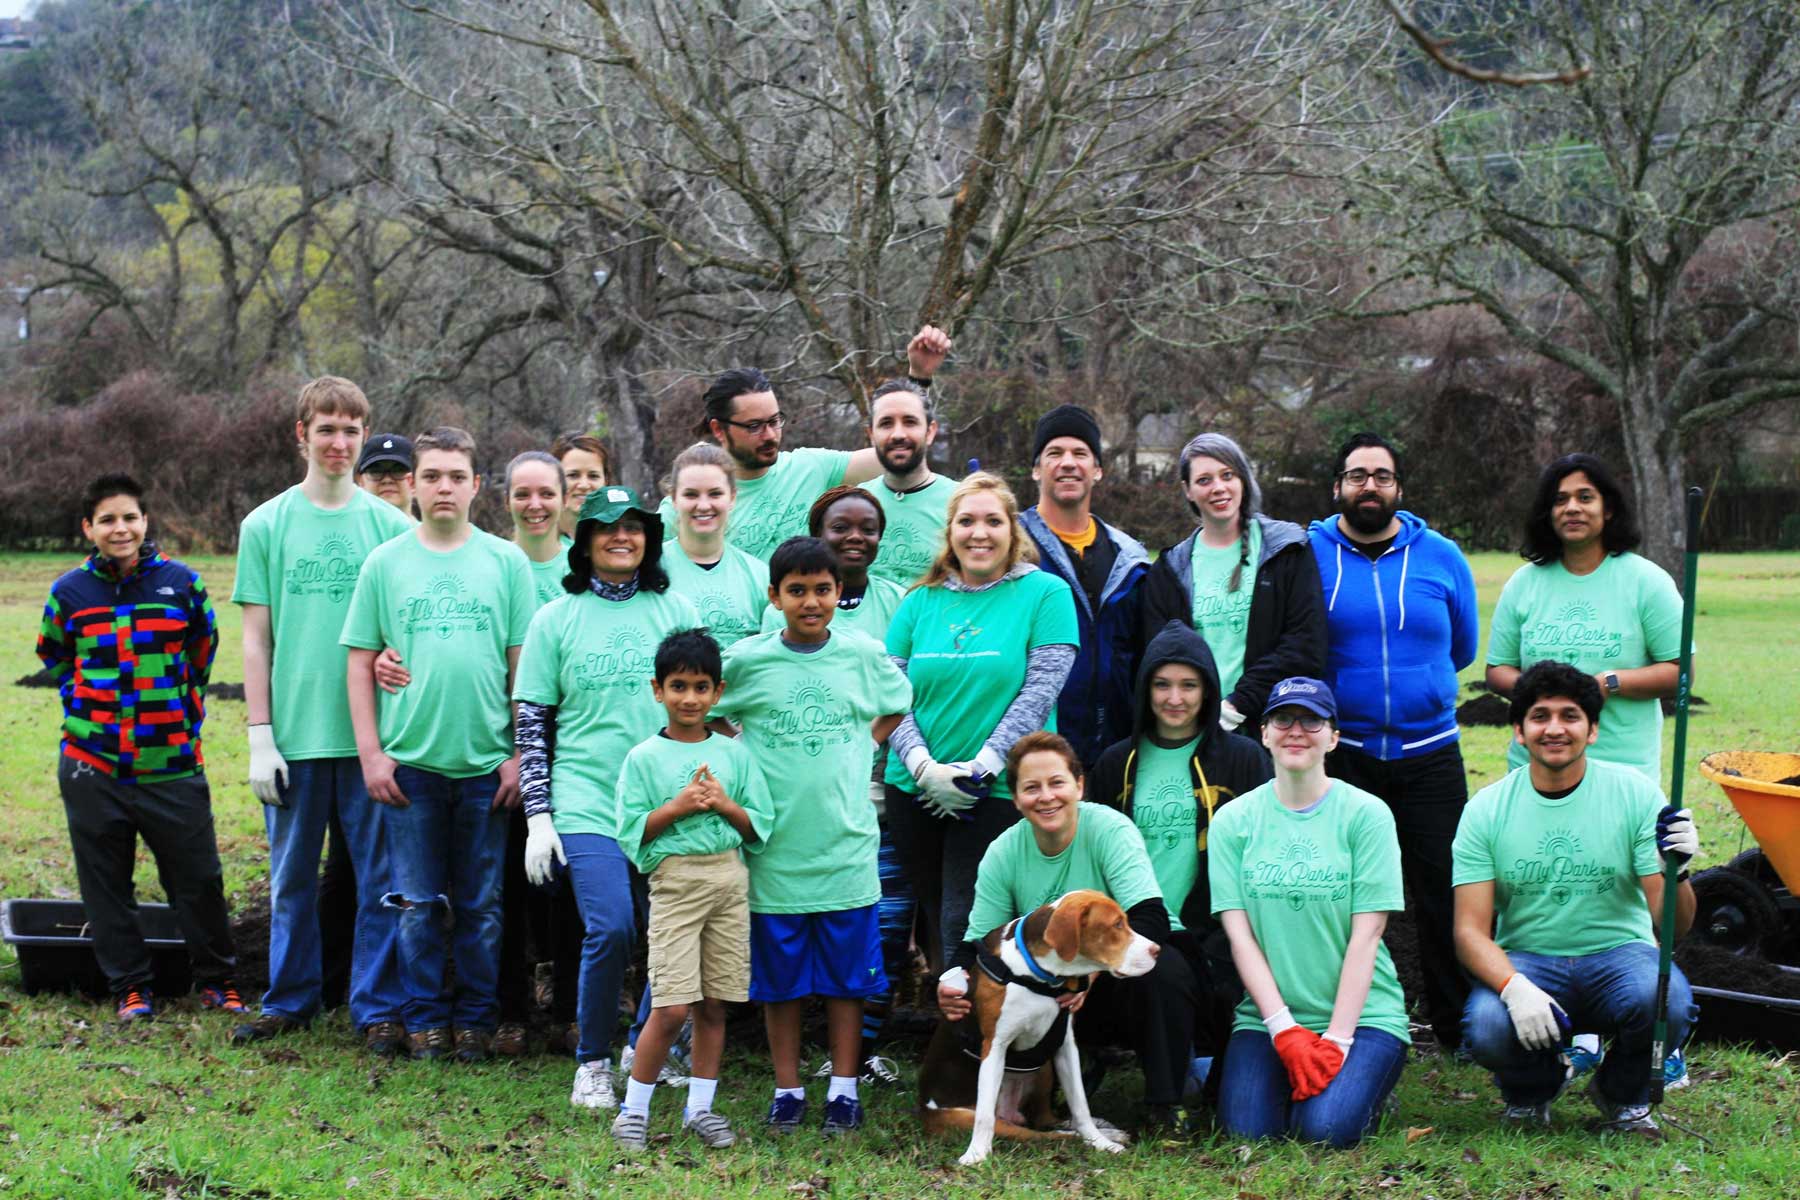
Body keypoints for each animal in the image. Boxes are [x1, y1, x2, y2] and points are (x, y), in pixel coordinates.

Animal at [921, 892, 1159, 1165]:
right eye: (1117, 924)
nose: (1157, 950)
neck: (1040, 974)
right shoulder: (994, 1046)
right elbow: (984, 1116)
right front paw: (977, 1153)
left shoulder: (1065, 1045)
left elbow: (1080, 1105)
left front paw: (1100, 1142)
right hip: (977, 1117)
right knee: (1040, 1133)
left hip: (1042, 1064)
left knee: (1046, 1121)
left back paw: (1103, 1132)